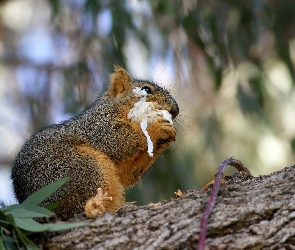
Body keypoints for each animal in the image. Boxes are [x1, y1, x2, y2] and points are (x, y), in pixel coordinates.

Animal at [10, 67, 179, 221]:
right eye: (146, 89)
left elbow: (127, 174)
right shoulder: (99, 127)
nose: (175, 110)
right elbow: (120, 139)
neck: (113, 109)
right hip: (81, 170)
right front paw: (158, 129)